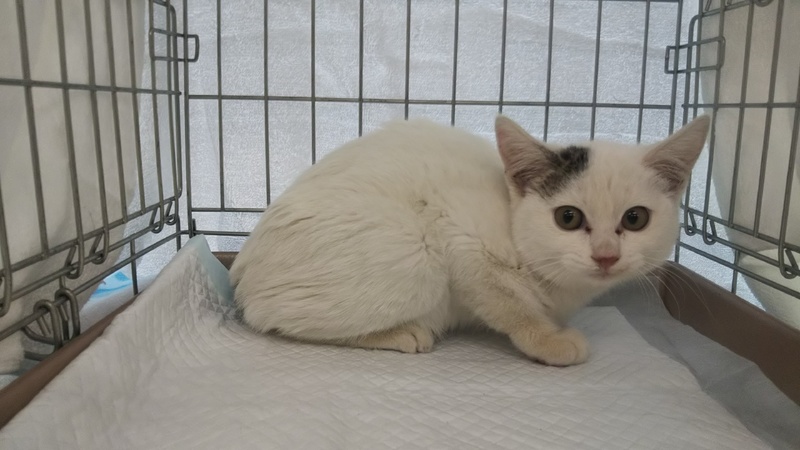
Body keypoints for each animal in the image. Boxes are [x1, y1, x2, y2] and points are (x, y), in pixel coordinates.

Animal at [230, 115, 710, 366]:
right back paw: (401, 333)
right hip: (418, 257)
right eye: (568, 218)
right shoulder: (460, 233)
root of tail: (240, 272)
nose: (606, 256)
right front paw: (550, 340)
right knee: (275, 318)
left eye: (635, 219)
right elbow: (508, 303)